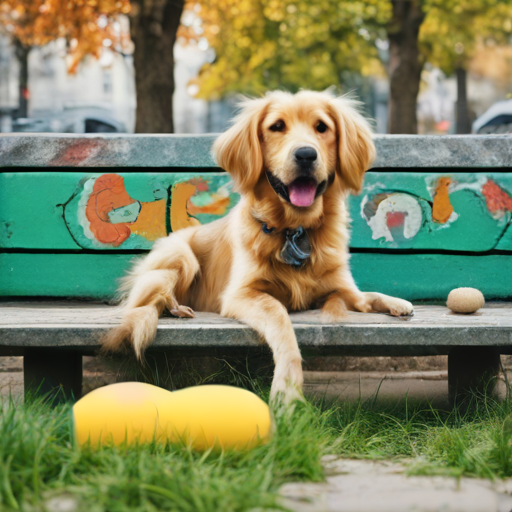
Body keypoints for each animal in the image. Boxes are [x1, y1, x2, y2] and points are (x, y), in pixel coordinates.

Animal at [103, 91, 412, 404]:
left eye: (322, 127)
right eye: (277, 126)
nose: (305, 155)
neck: (293, 229)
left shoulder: (338, 287)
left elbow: (365, 296)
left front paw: (396, 303)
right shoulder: (241, 295)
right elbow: (281, 320)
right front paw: (287, 390)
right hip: (181, 256)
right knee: (149, 299)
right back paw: (176, 307)